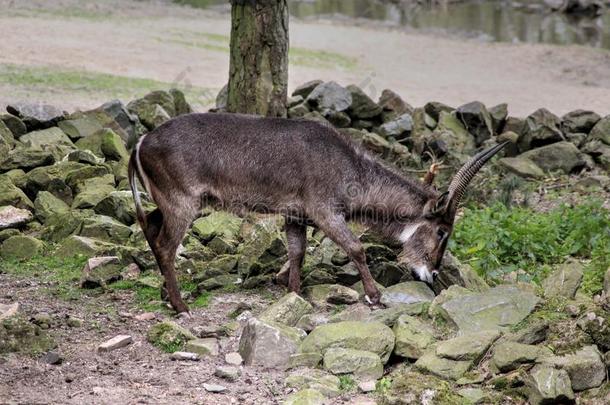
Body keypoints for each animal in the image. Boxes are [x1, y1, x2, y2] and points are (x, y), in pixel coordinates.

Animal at [127, 112, 504, 310]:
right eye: (442, 230)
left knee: (151, 229)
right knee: (165, 245)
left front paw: (293, 294)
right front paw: (375, 296)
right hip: (183, 203)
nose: (434, 273)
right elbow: (356, 248)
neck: (350, 166)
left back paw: (165, 294)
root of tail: (140, 143)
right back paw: (180, 306)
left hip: (167, 203)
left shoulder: (295, 216)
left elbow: (297, 253)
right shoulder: (325, 212)